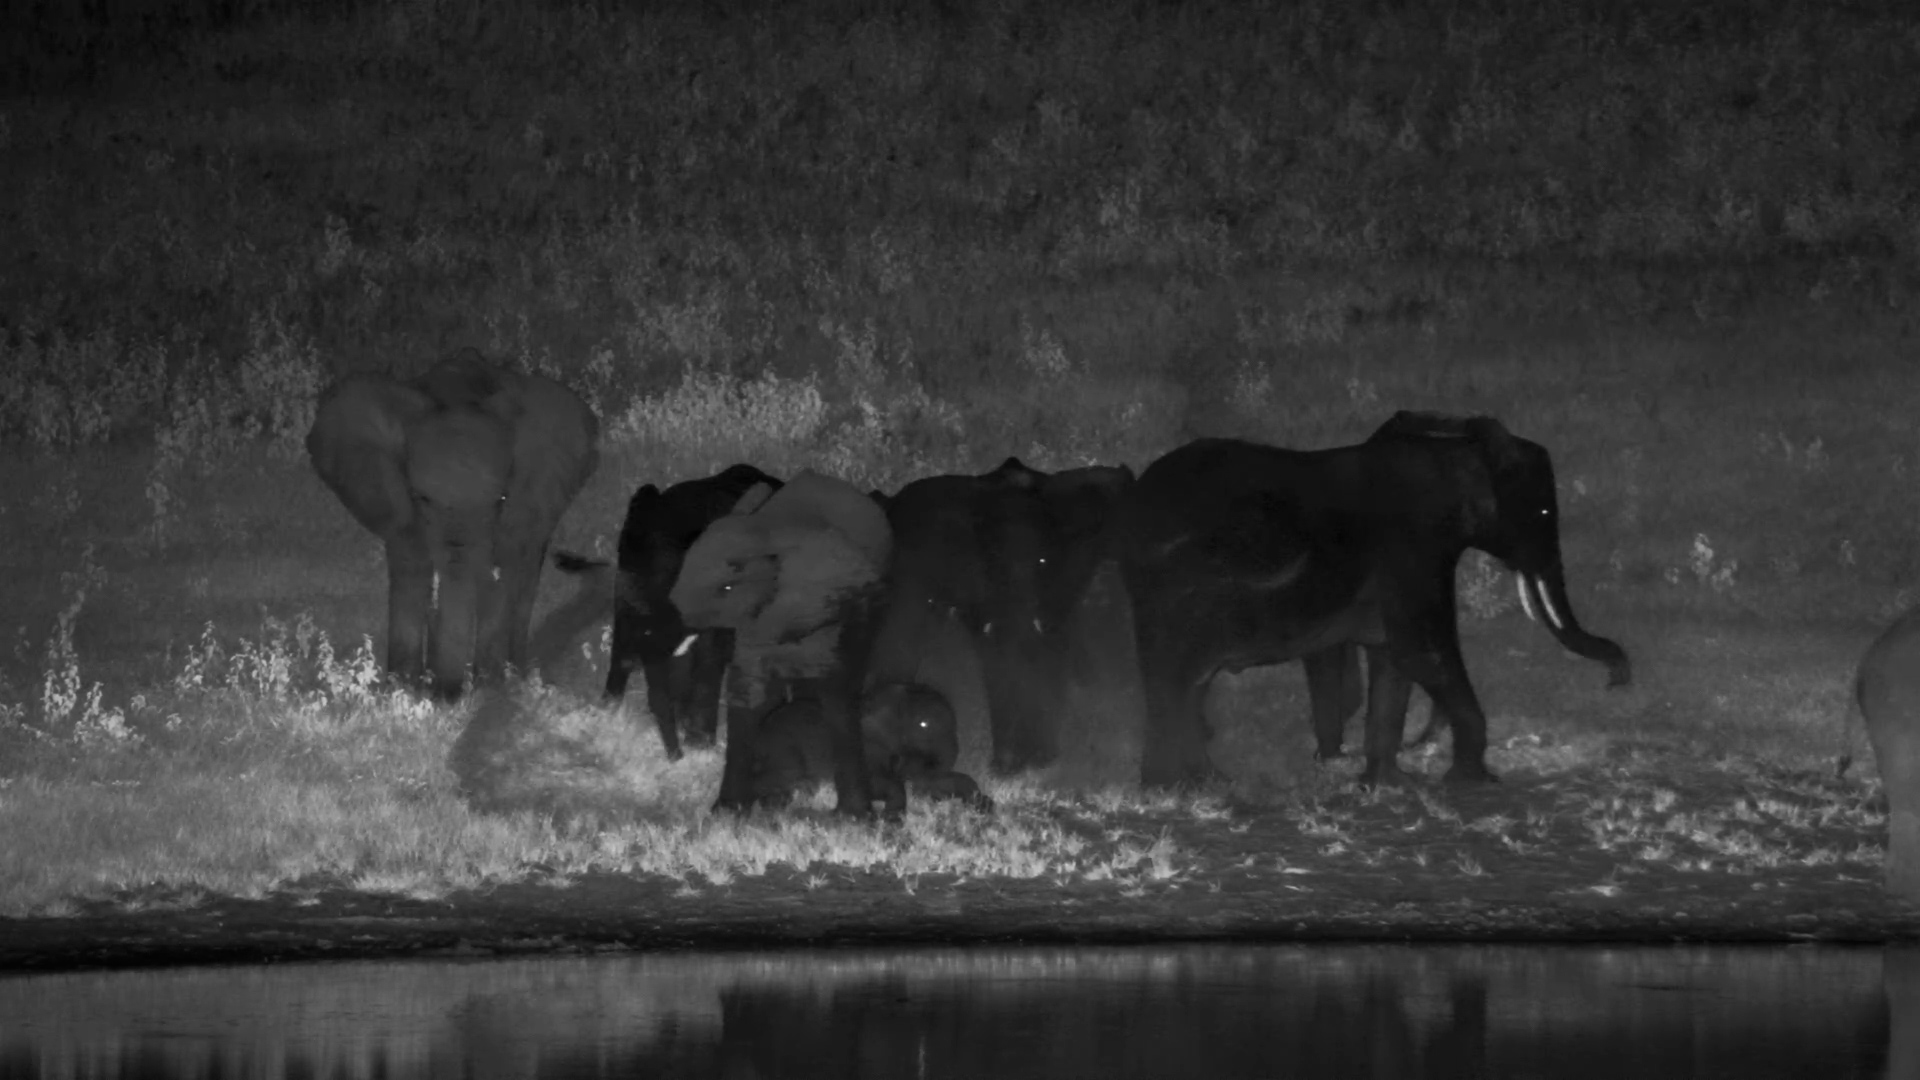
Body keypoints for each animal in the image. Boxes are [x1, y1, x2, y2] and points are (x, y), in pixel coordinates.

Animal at [305, 348, 599, 700]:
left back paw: (517, 677)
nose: (447, 695)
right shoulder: (398, 504)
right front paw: (403, 691)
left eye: (501, 499)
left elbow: (502, 576)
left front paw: (488, 688)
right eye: (420, 498)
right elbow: (411, 569)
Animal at [668, 470, 892, 817]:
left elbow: (837, 693)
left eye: (727, 588)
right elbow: (749, 691)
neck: (767, 533)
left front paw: (854, 818)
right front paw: (728, 812)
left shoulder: (835, 606)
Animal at [747, 681, 991, 816]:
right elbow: (874, 782)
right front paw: (891, 816)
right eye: (924, 725)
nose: (936, 800)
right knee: (784, 775)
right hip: (783, 746)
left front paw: (985, 804)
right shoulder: (865, 744)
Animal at [1118, 411, 1631, 789]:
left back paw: (1199, 783)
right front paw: (1478, 784)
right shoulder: (1413, 550)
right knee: (1178, 677)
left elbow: (1394, 658)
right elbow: (1423, 652)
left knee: (1182, 681)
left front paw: (1389, 785)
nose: (1616, 681)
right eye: (1543, 510)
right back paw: (1180, 787)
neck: (1452, 451)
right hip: (1175, 591)